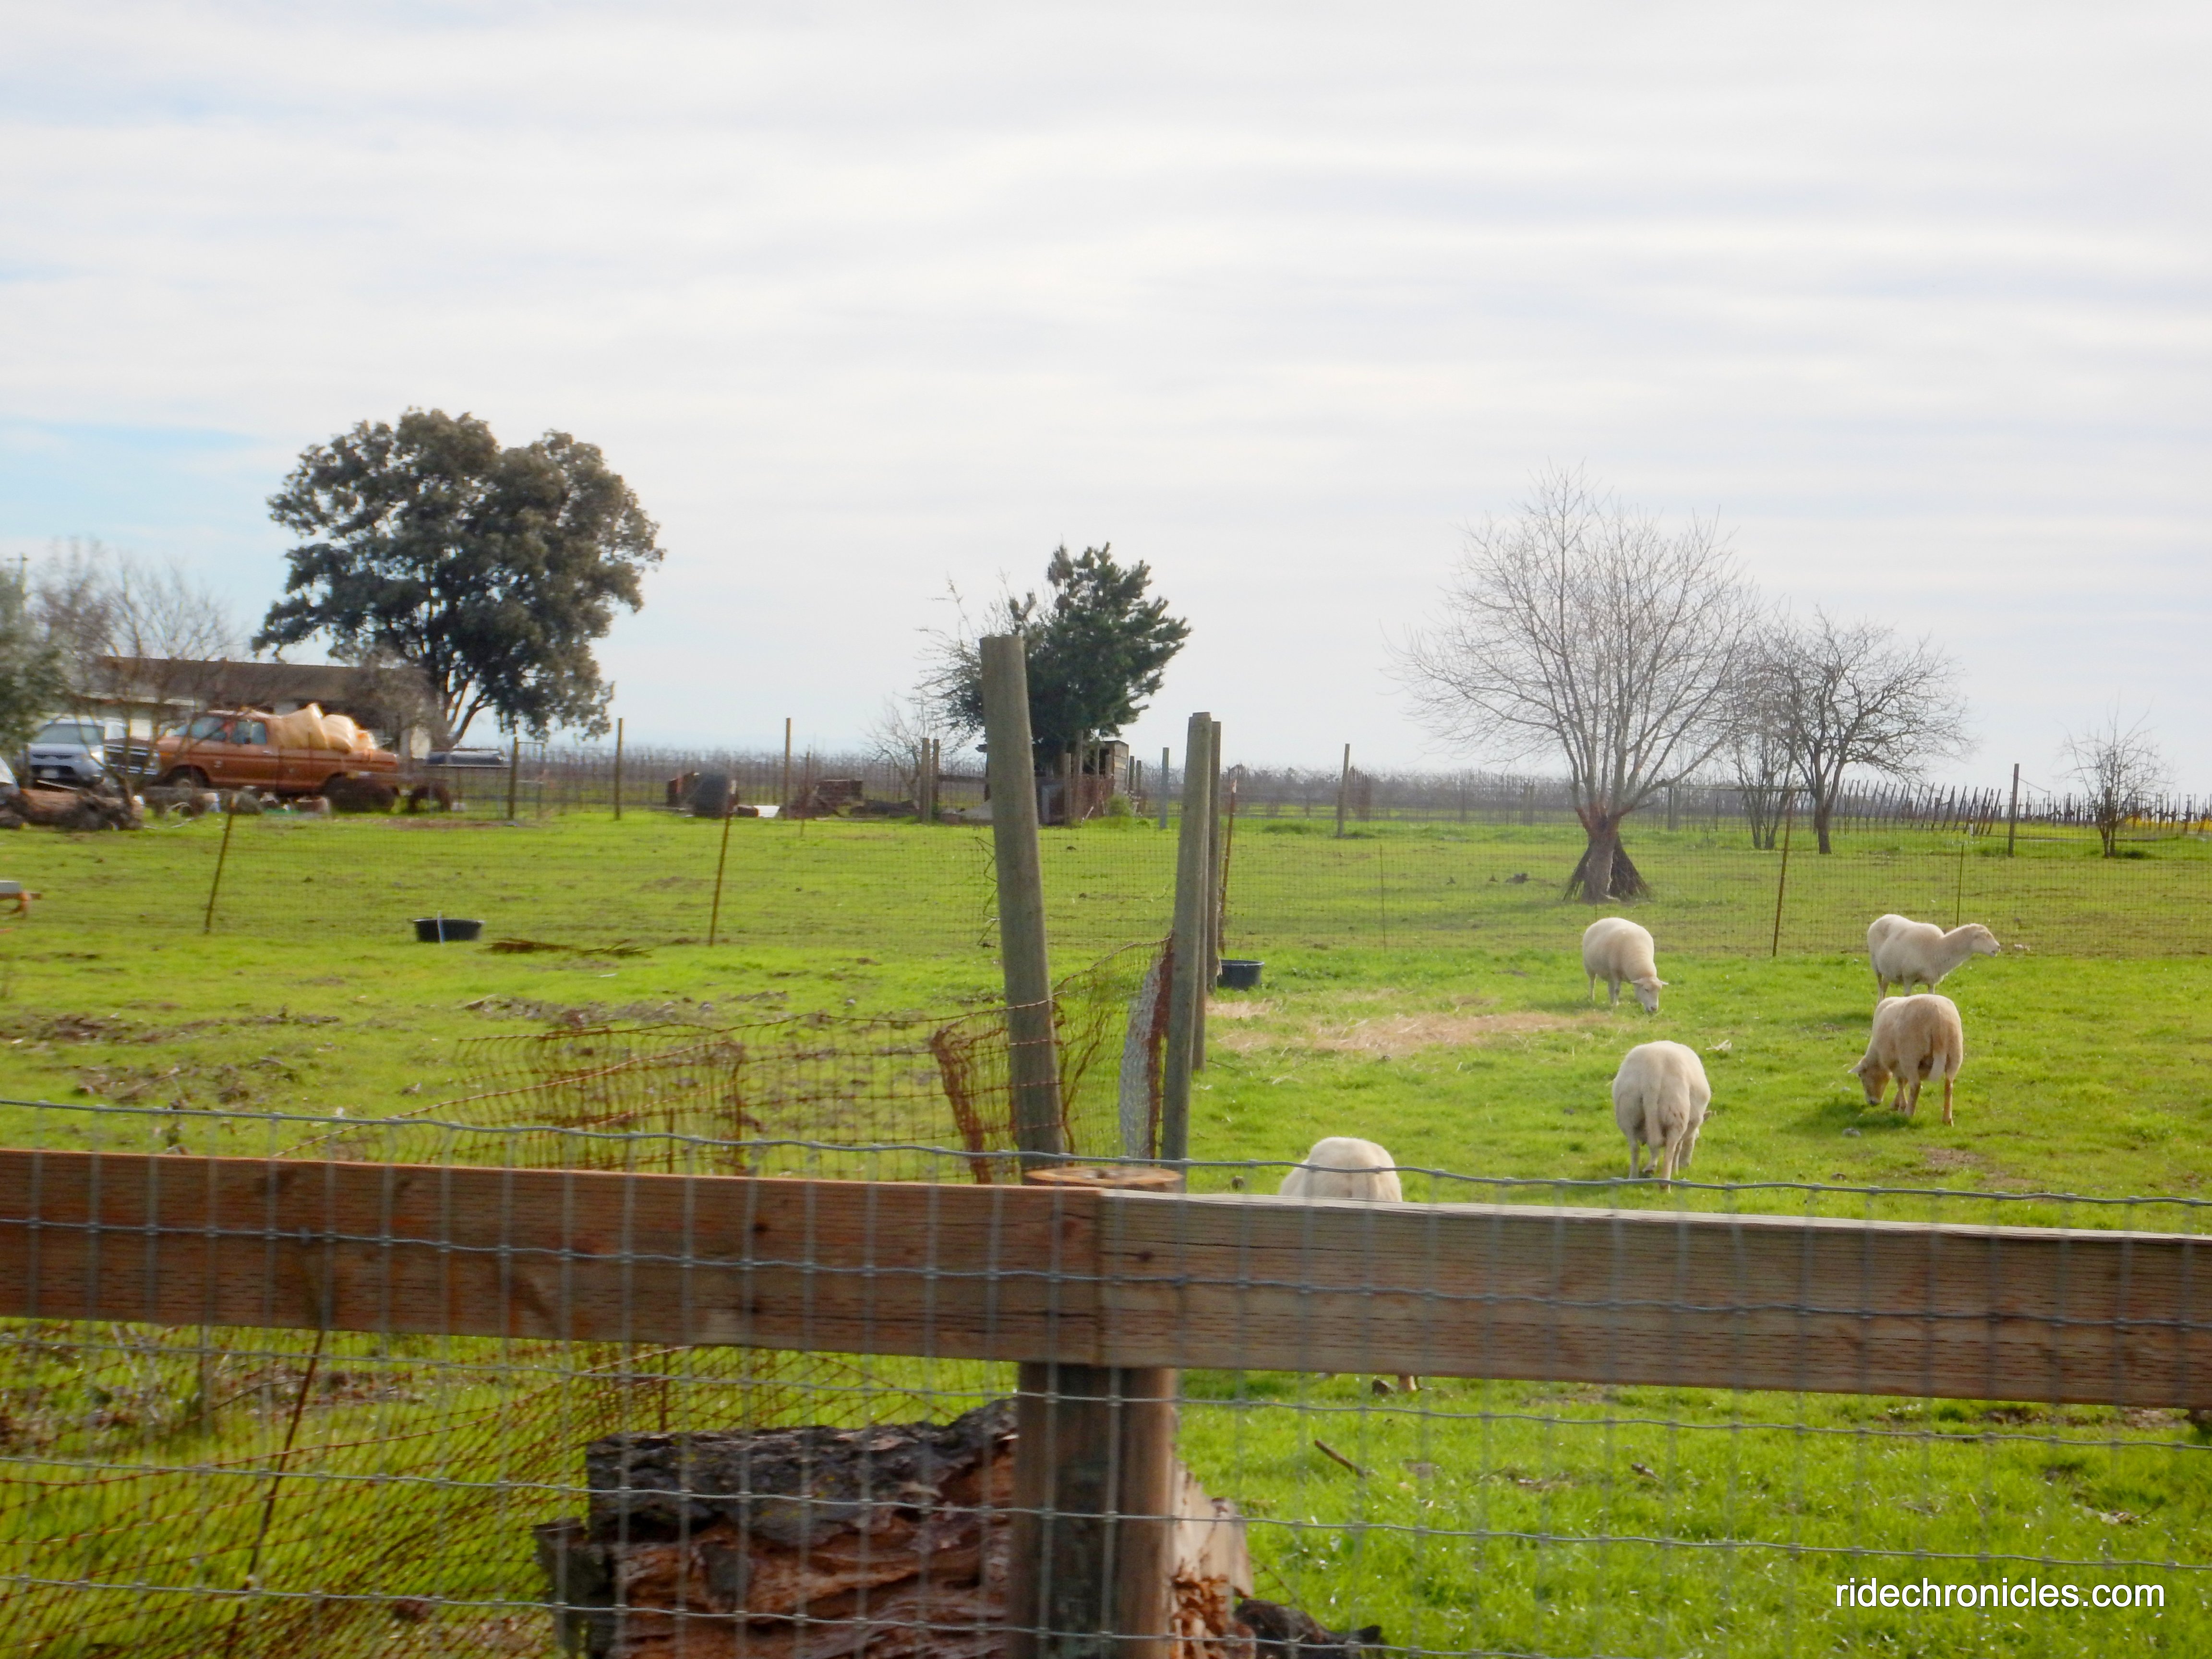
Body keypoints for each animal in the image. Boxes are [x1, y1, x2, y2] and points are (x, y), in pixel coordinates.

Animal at [1582, 917, 1666, 1013]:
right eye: (1646, 990)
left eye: (1659, 990)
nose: (1654, 1009)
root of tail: (1601, 920)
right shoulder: (1616, 972)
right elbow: (1617, 991)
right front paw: (1615, 1007)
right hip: (1589, 967)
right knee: (1593, 983)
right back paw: (1592, 998)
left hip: (1609, 973)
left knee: (1610, 986)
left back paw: (1611, 1001)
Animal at [1611, 1041, 1710, 1182]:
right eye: (1697, 1138)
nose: (1686, 1165)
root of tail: (1653, 1069)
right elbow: (1678, 1148)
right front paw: (1676, 1169)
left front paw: (1651, 1167)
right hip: (1676, 1111)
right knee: (1671, 1150)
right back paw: (1668, 1177)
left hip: (1627, 1111)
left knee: (1635, 1148)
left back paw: (1633, 1178)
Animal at [1849, 993, 1964, 1125]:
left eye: (1861, 1076)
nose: (1873, 1103)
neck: (1877, 1055)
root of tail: (1938, 1018)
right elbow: (1904, 1082)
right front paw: (1898, 1104)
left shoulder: (1896, 1062)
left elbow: (1900, 1082)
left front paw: (1901, 1106)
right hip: (1955, 1053)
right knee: (1949, 1085)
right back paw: (1947, 1119)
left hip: (1910, 1055)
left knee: (1916, 1085)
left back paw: (1909, 1114)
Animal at [1866, 913, 1999, 1005]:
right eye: (1985, 936)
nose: (1998, 947)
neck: (1938, 947)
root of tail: (1882, 918)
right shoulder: (1909, 977)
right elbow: (1907, 996)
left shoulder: (1932, 981)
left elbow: (1931, 995)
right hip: (1875, 964)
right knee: (1880, 986)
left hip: (1888, 969)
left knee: (1885, 986)